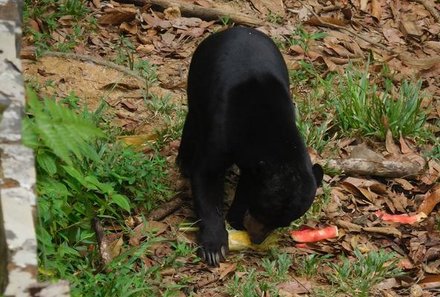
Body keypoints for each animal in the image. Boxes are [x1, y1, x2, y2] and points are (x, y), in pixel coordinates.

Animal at [177, 26, 324, 264]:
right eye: (261, 211)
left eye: (282, 223)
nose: (256, 239)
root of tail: (232, 29)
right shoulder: (222, 131)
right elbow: (206, 175)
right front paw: (214, 247)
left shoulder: (254, 164)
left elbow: (246, 184)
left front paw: (235, 219)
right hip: (197, 78)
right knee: (193, 118)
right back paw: (184, 162)